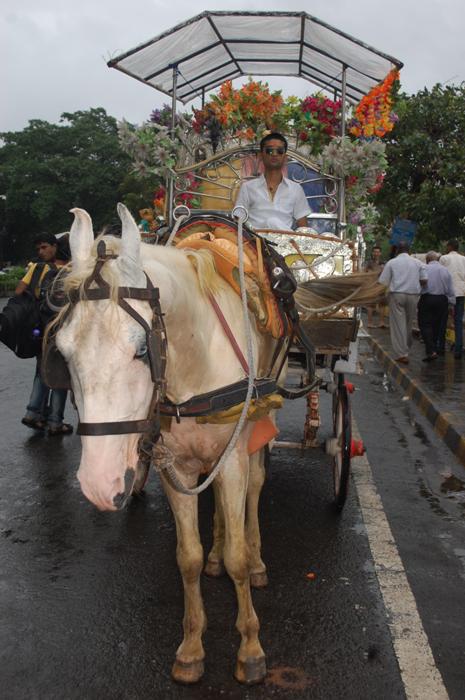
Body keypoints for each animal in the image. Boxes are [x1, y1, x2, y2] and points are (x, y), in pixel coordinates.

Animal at [57, 202, 282, 684]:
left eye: (143, 350)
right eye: (62, 353)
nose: (99, 485)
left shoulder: (232, 457)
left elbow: (237, 554)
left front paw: (250, 648)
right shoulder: (172, 465)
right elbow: (188, 558)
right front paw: (192, 647)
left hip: (262, 416)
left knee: (255, 487)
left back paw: (257, 560)